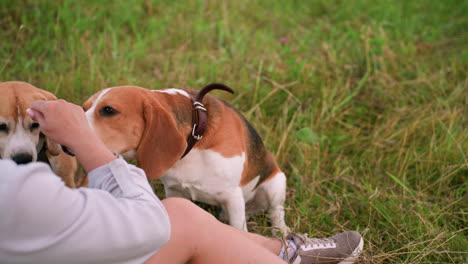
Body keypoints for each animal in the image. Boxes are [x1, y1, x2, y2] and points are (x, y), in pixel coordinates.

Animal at [84, 83, 288, 233]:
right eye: (84, 107)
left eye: (108, 110)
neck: (195, 139)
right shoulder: (175, 191)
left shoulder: (233, 198)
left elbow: (239, 229)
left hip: (276, 183)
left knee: (276, 211)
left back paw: (282, 232)